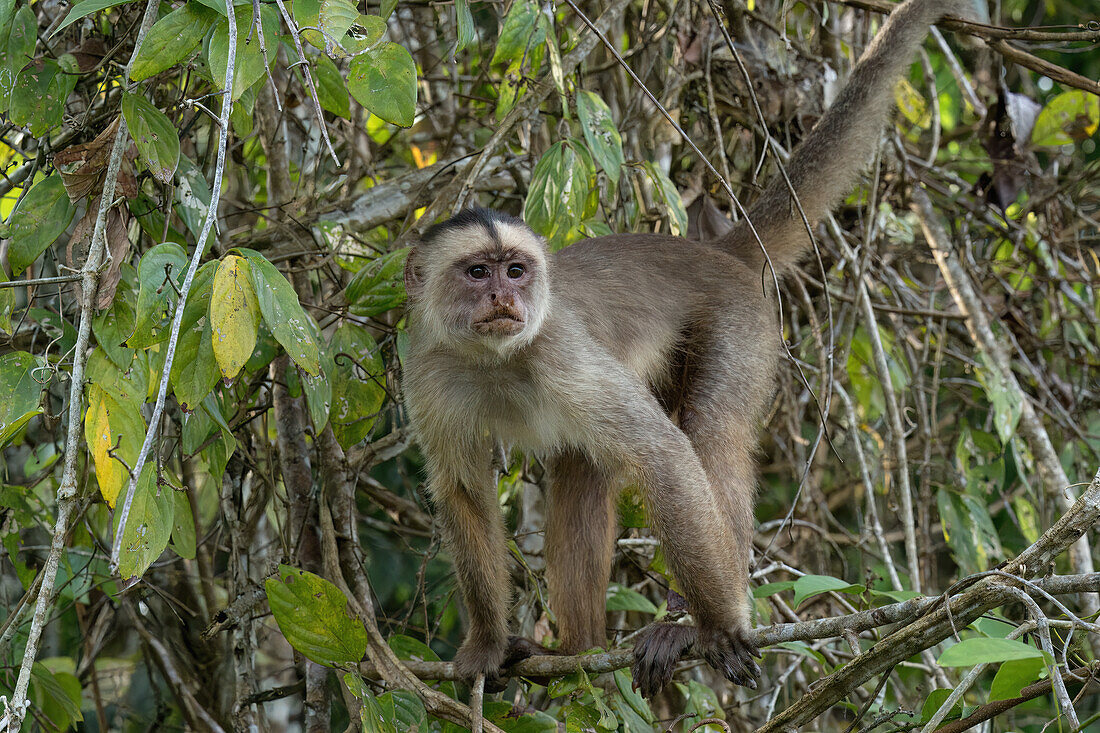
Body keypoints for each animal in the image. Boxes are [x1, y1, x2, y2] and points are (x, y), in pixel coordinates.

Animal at [404, 0, 990, 695]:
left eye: (515, 271)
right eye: (477, 273)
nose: (504, 298)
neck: (496, 360)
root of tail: (711, 252)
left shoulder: (557, 347)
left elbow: (664, 455)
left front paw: (717, 624)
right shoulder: (428, 367)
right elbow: (464, 492)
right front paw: (488, 645)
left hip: (742, 319)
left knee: (709, 431)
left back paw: (689, 623)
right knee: (581, 469)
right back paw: (577, 648)